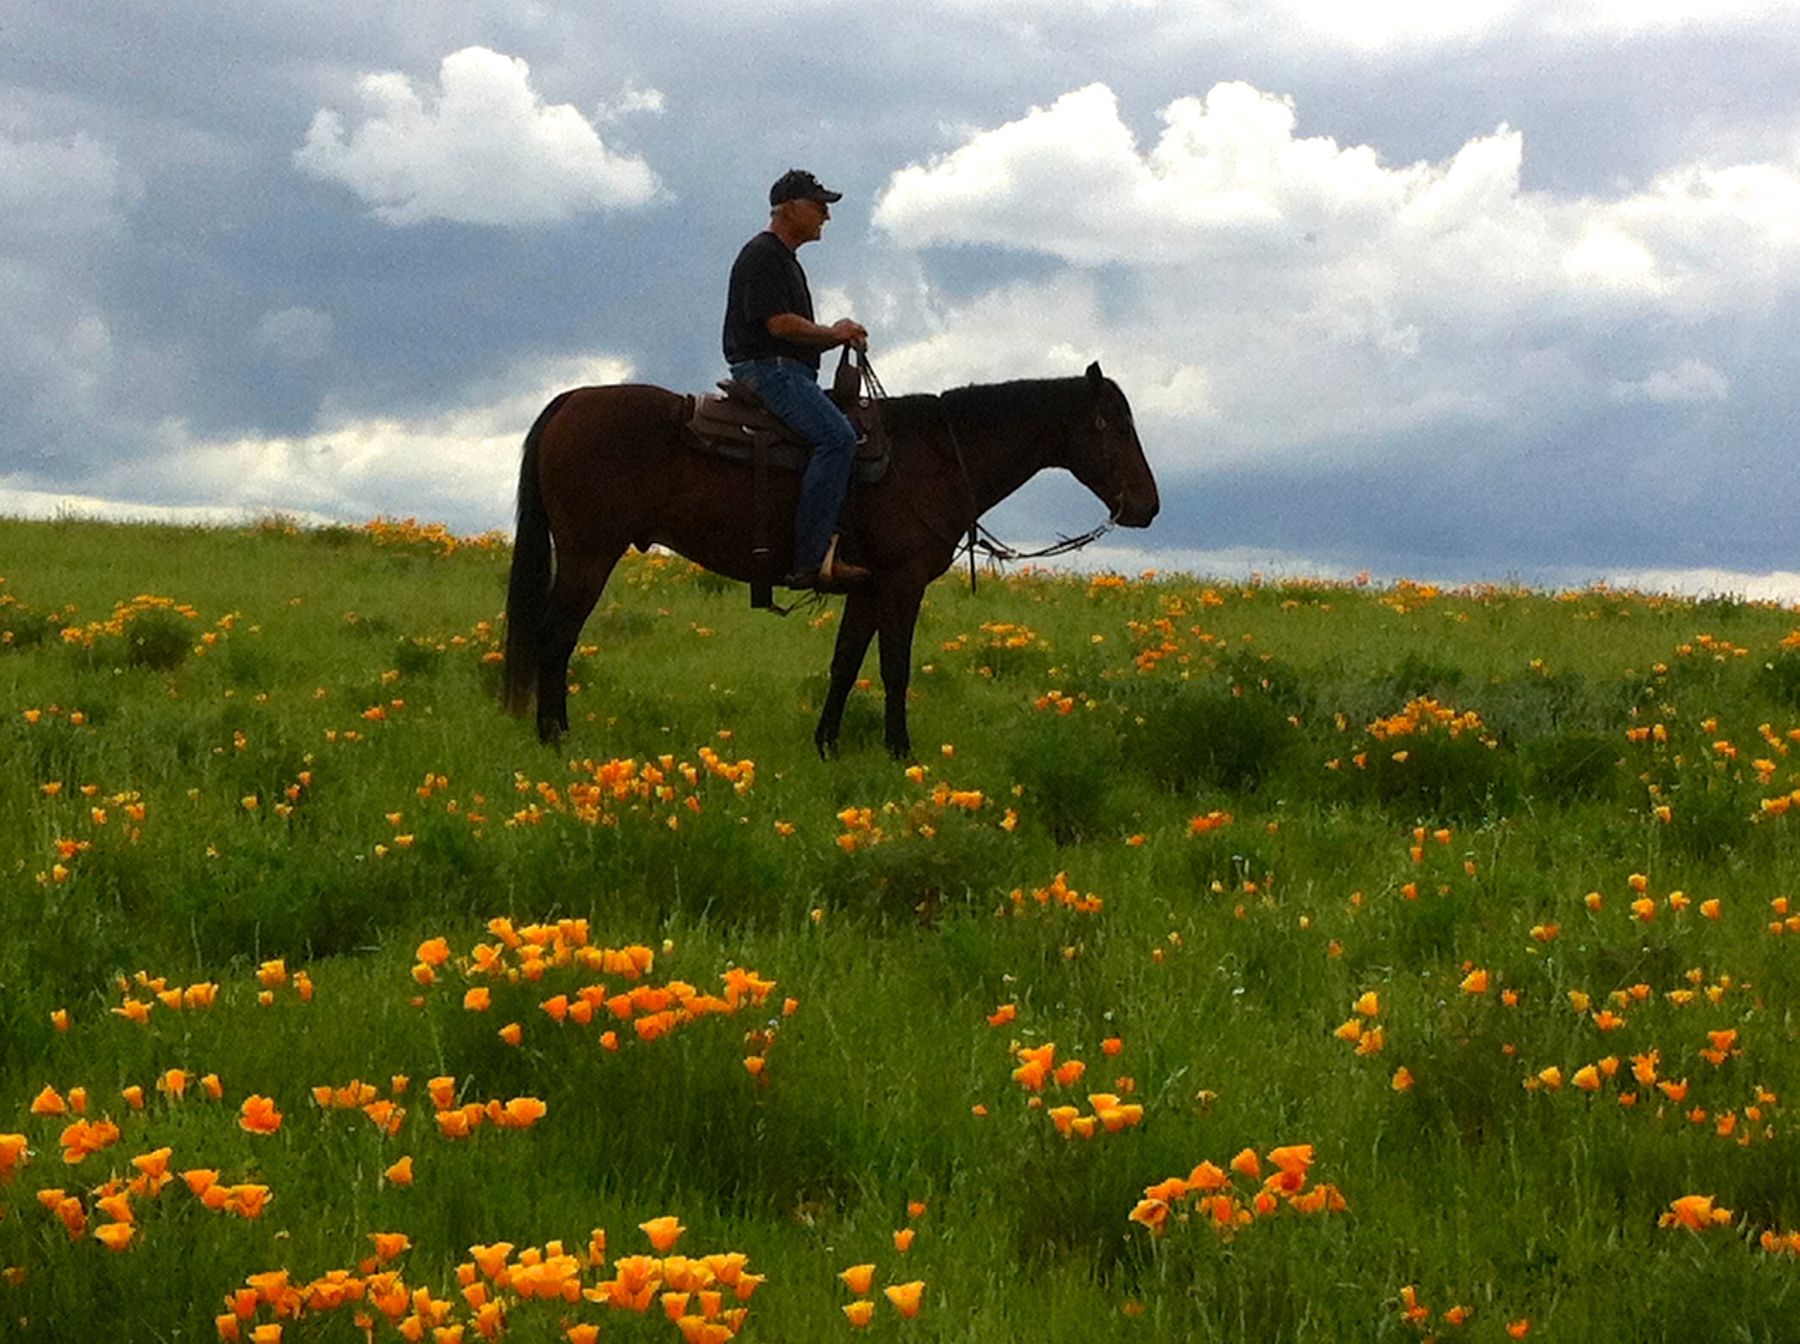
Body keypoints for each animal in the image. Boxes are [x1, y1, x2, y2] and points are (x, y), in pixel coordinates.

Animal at [502, 361, 1160, 757]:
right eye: (1115, 425)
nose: (1147, 506)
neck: (936, 457)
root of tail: (570, 401)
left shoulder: (866, 588)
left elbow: (845, 665)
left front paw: (827, 746)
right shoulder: (901, 582)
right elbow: (895, 668)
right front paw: (901, 753)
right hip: (589, 554)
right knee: (554, 638)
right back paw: (555, 738)